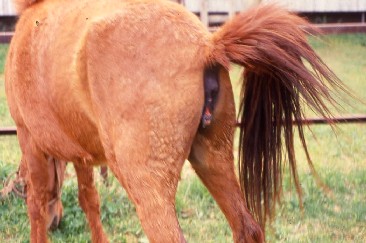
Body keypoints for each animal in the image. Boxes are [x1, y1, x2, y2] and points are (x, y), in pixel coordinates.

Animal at [4, 0, 344, 243]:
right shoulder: (82, 153)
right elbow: (90, 200)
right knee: (247, 228)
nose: (57, 222)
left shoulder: (29, 141)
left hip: (149, 187)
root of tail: (206, 46)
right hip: (213, 158)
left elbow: (36, 202)